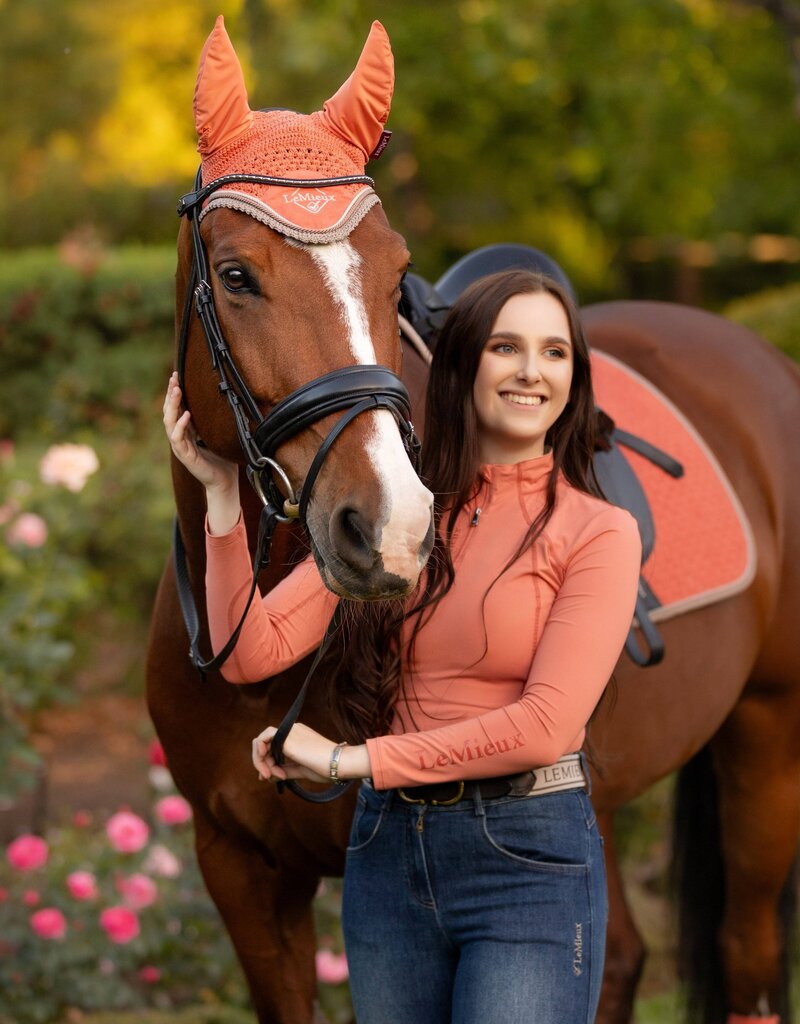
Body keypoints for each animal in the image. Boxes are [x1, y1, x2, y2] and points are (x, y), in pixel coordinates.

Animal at [146, 16, 794, 1024]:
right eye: (237, 274)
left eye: (397, 272)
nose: (390, 527)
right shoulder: (240, 873)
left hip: (767, 743)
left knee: (739, 950)